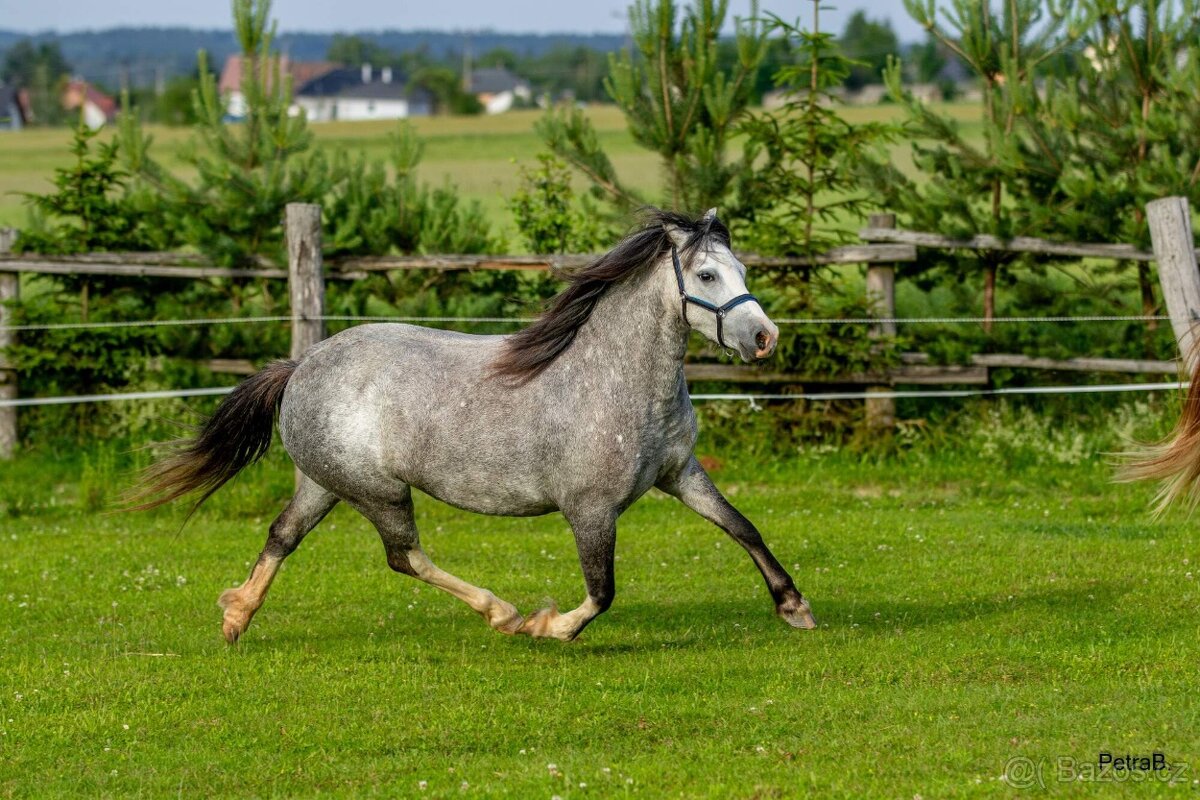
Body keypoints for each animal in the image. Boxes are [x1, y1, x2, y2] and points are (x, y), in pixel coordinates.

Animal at [132, 208, 818, 643]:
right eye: (707, 275)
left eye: (743, 271)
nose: (765, 338)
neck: (614, 378)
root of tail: (302, 365)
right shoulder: (590, 508)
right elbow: (601, 591)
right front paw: (550, 627)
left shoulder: (680, 473)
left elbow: (743, 527)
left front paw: (794, 606)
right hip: (378, 492)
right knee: (404, 557)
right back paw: (504, 613)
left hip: (325, 482)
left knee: (283, 535)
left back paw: (237, 616)